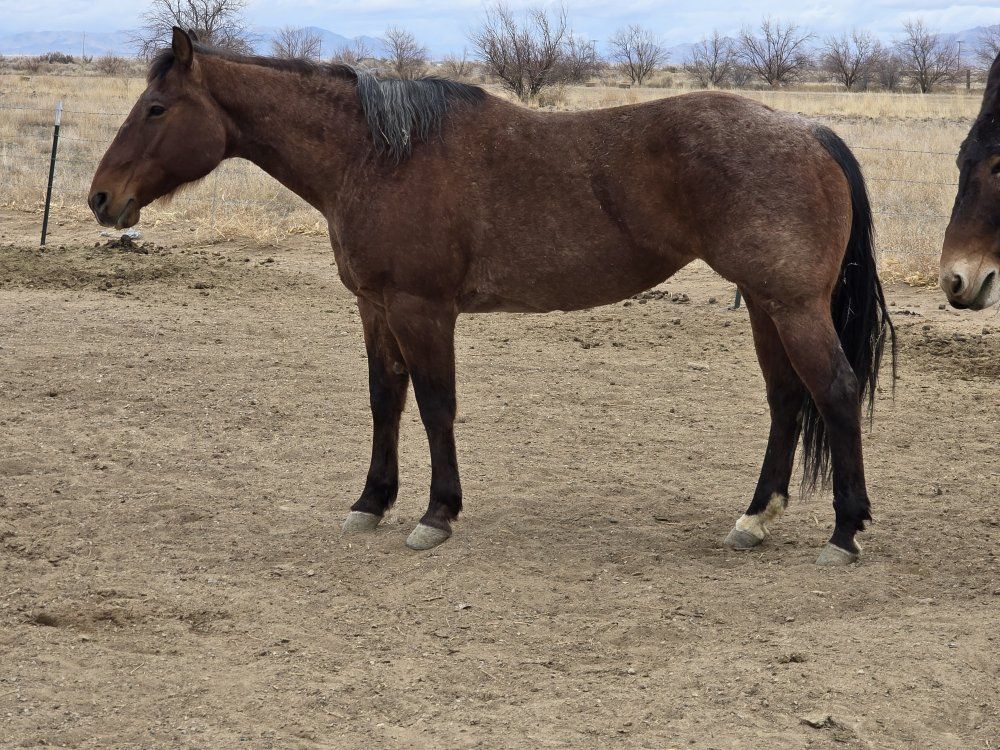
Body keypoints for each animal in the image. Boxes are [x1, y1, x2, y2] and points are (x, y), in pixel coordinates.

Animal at [89, 28, 895, 565]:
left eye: (156, 108)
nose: (101, 199)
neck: (380, 156)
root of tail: (808, 130)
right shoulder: (375, 307)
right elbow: (387, 401)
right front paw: (371, 502)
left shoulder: (423, 309)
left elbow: (435, 405)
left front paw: (436, 514)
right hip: (764, 304)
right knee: (787, 400)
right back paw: (755, 519)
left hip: (791, 307)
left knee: (834, 390)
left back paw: (844, 532)